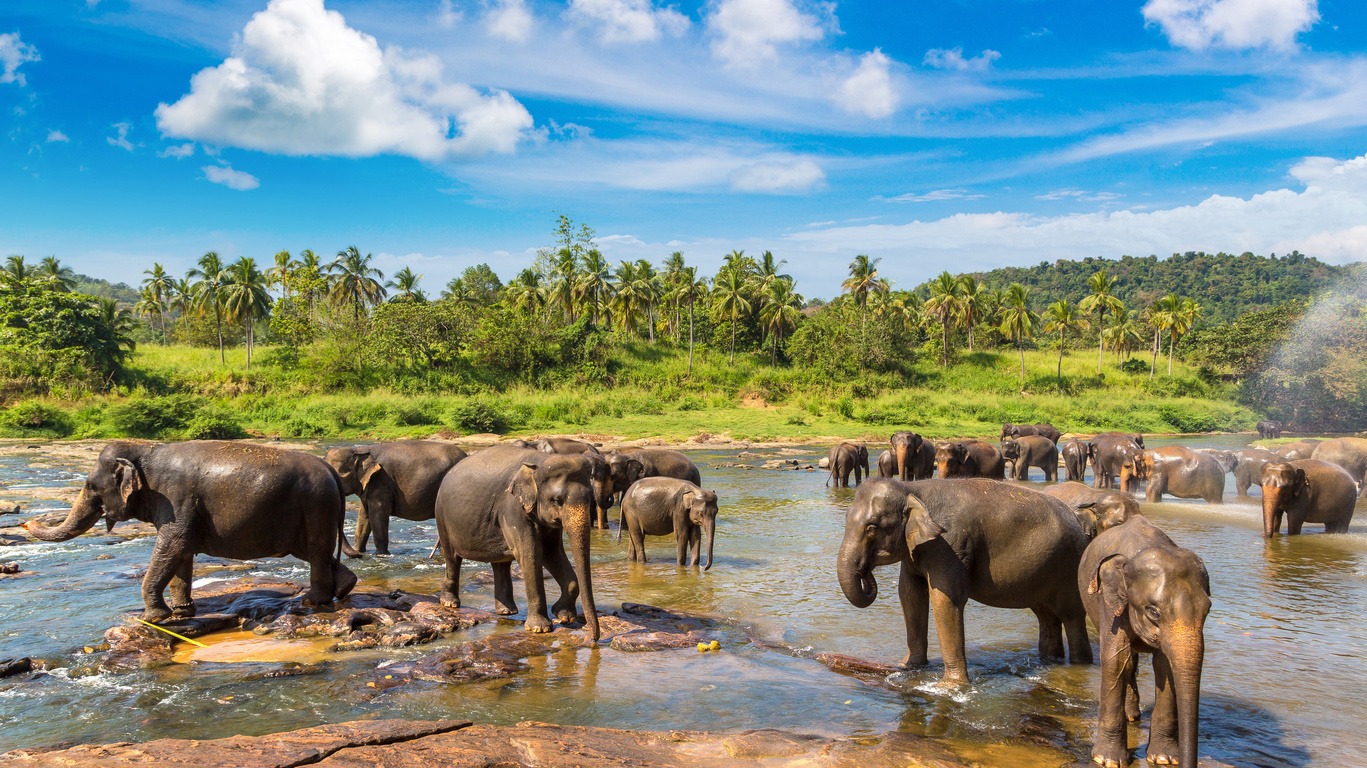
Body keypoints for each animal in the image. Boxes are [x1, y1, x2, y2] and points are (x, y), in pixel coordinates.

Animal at [28, 440, 358, 617]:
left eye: (89, 485)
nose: (28, 521)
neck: (144, 450)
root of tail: (329, 469)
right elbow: (181, 551)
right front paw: (183, 611)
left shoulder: (176, 499)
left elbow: (173, 544)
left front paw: (157, 617)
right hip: (310, 511)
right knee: (314, 552)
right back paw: (344, 588)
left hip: (315, 505)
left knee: (316, 551)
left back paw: (312, 601)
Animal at [325, 440, 470, 552]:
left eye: (338, 478)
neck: (360, 450)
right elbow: (364, 516)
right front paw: (359, 551)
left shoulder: (381, 481)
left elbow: (378, 516)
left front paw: (382, 554)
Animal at [434, 445, 601, 636]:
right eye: (556, 500)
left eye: (591, 499)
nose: (592, 636)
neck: (540, 462)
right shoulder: (512, 508)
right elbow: (531, 554)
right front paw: (540, 628)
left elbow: (552, 552)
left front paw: (564, 616)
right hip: (442, 517)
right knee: (452, 558)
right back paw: (450, 603)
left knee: (500, 564)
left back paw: (507, 611)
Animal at [831, 478, 1088, 680]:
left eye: (872, 527)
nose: (866, 573)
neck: (912, 489)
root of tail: (1078, 520)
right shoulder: (916, 549)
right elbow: (910, 595)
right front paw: (909, 666)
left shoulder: (950, 544)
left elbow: (944, 599)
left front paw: (950, 686)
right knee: (1047, 617)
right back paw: (1050, 661)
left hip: (1070, 567)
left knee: (1072, 616)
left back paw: (1079, 665)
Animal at [1077, 511, 1208, 765]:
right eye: (1153, 611)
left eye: (1208, 609)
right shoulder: (1111, 604)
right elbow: (1116, 659)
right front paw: (1108, 760)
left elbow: (1164, 665)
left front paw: (1165, 758)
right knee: (1127, 663)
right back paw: (1130, 716)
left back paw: (1133, 716)